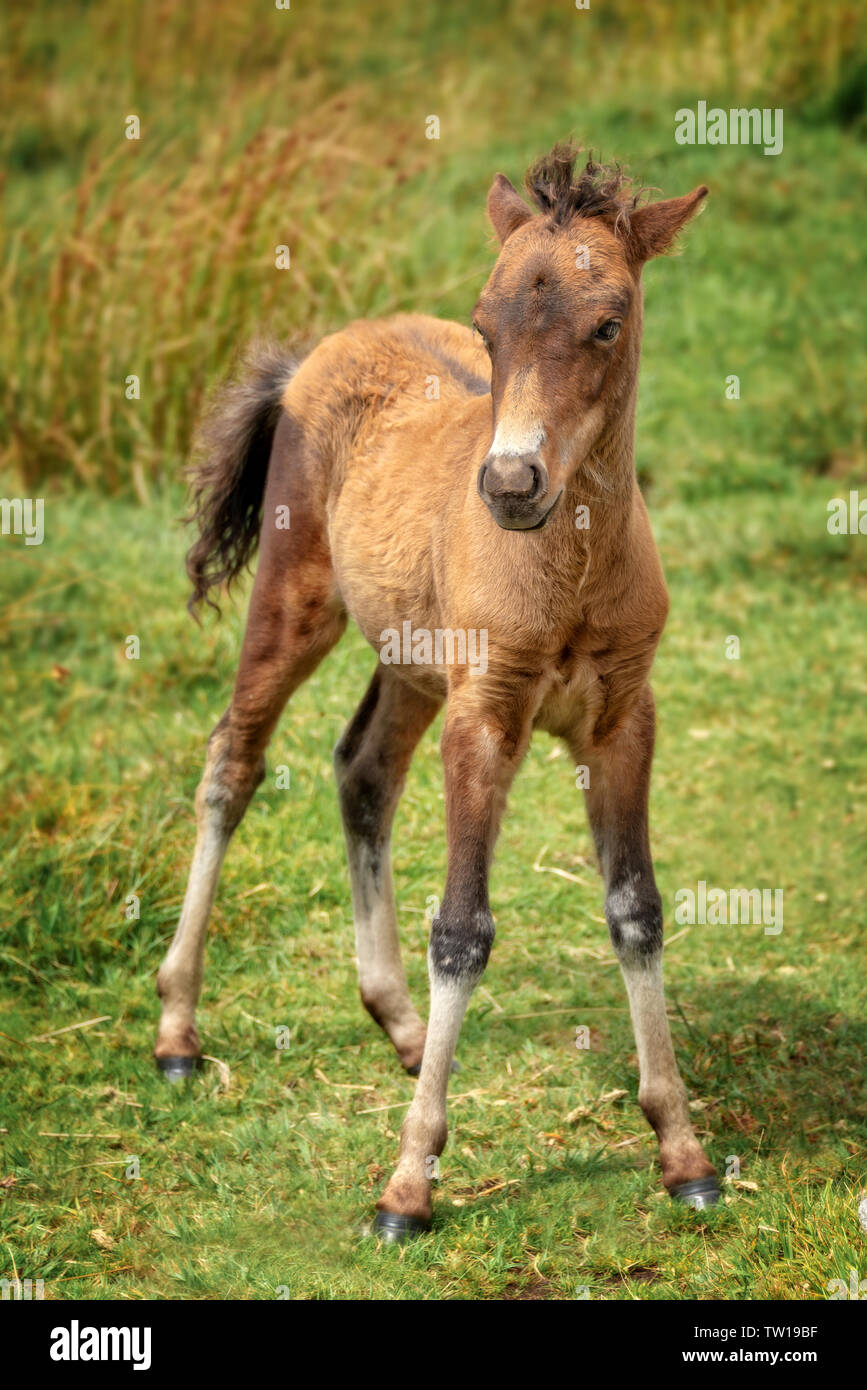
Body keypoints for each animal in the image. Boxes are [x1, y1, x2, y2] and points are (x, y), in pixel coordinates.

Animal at [154, 142, 719, 1241]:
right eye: (487, 324)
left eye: (607, 323)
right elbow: (461, 928)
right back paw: (176, 1030)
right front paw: (408, 1186)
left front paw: (682, 1152)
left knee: (362, 769)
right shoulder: (484, 719)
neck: (568, 573)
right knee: (232, 761)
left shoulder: (624, 722)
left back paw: (405, 1029)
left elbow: (636, 909)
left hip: (414, 659)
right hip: (296, 601)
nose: (508, 484)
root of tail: (317, 351)